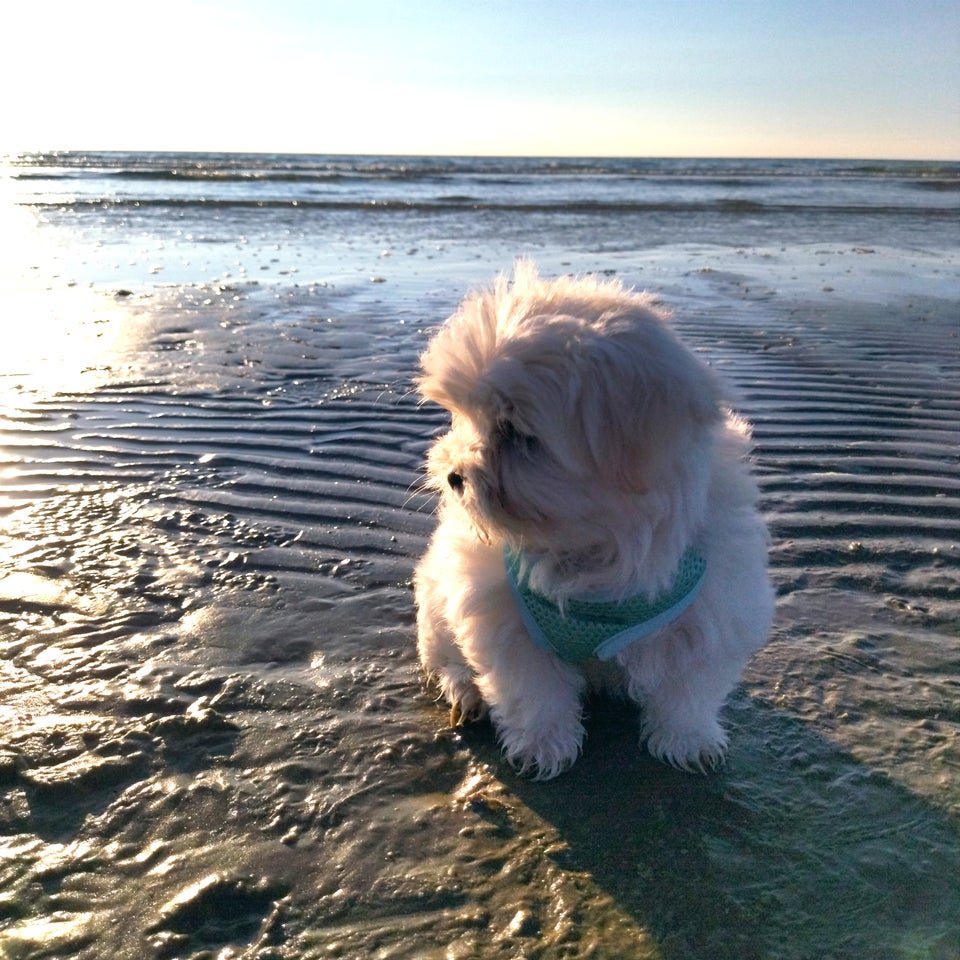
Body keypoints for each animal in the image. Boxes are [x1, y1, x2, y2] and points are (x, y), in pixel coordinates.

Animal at [412, 262, 772, 780]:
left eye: (517, 433)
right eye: (467, 418)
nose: (454, 475)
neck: (591, 541)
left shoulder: (712, 608)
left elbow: (689, 690)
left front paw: (688, 740)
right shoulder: (501, 614)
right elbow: (534, 692)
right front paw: (544, 745)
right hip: (435, 602)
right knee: (445, 657)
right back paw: (466, 692)